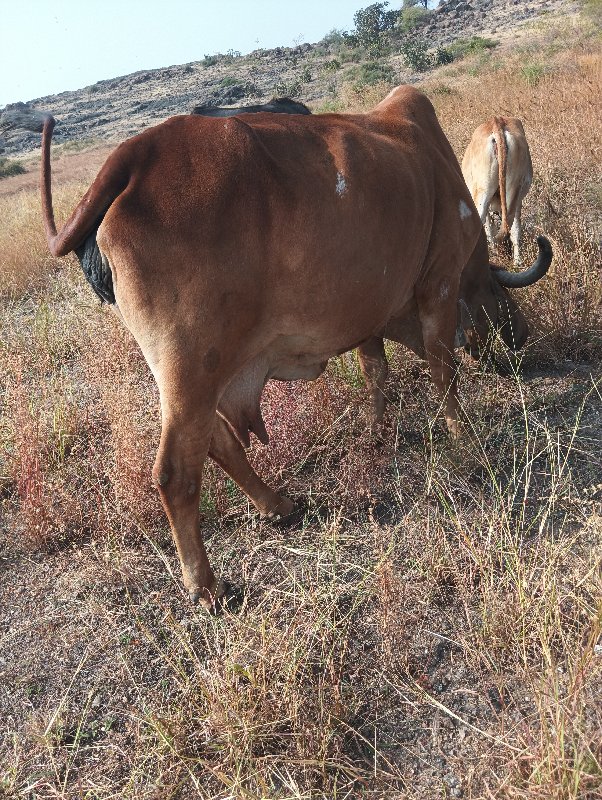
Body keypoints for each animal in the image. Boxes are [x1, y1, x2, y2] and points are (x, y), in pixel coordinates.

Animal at [460, 116, 528, 266]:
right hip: (514, 193)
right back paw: (517, 262)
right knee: (512, 227)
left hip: (482, 193)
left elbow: (489, 228)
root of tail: (497, 122)